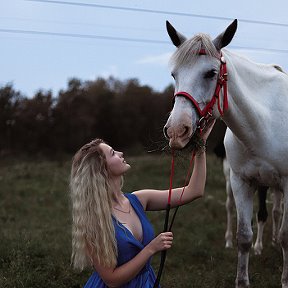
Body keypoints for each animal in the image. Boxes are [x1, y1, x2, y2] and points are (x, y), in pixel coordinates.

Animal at [163, 19, 288, 286]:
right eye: (174, 74)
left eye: (211, 73)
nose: (177, 130)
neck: (263, 122)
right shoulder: (240, 181)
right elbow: (244, 236)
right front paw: (242, 280)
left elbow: (285, 236)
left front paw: (285, 280)